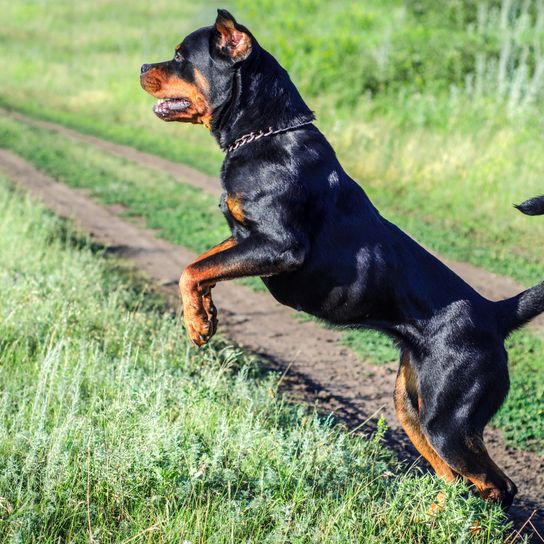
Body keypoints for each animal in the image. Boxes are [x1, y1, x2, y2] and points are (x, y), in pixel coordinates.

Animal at [141, 9, 544, 510]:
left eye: (180, 56)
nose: (142, 68)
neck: (263, 134)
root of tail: (495, 313)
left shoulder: (278, 245)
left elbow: (190, 268)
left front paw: (197, 325)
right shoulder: (243, 239)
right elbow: (203, 264)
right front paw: (204, 315)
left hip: (448, 418)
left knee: (496, 486)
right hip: (412, 406)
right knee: (457, 480)